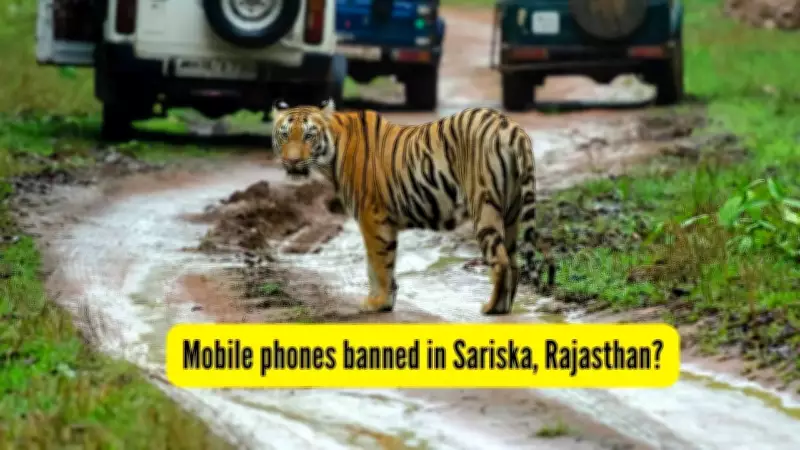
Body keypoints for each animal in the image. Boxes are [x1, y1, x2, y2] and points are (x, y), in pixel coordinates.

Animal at [270, 98, 551, 316]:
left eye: (309, 135)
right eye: (285, 134)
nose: (291, 161)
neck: (332, 153)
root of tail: (510, 126)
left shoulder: (372, 217)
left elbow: (378, 264)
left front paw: (377, 303)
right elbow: (380, 265)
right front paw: (384, 300)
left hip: (484, 205)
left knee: (500, 259)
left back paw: (491, 308)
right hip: (512, 210)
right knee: (514, 262)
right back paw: (505, 307)